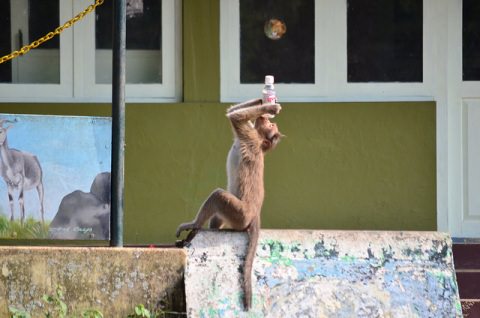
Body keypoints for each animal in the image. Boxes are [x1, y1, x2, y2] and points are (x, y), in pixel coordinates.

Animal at [175, 98, 282, 310]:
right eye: (271, 125)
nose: (268, 120)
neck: (259, 144)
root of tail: (254, 214)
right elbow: (234, 111)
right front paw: (265, 101)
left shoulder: (249, 136)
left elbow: (236, 117)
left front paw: (270, 107)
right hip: (236, 217)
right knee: (217, 216)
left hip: (239, 214)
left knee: (218, 196)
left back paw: (195, 225)